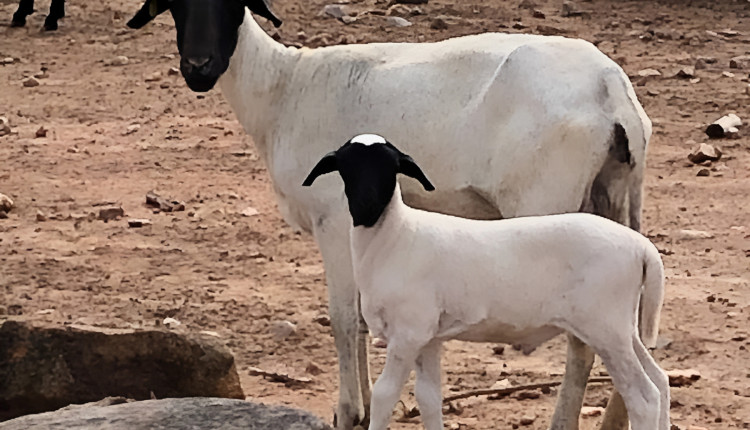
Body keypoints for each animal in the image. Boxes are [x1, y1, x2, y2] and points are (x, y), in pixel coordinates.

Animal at [302, 134, 672, 430]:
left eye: (390, 168)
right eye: (346, 167)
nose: (366, 205)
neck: (395, 235)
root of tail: (642, 248)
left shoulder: (408, 333)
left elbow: (384, 395)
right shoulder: (429, 338)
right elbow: (429, 399)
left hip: (605, 328)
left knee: (644, 397)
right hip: (622, 328)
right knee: (660, 381)